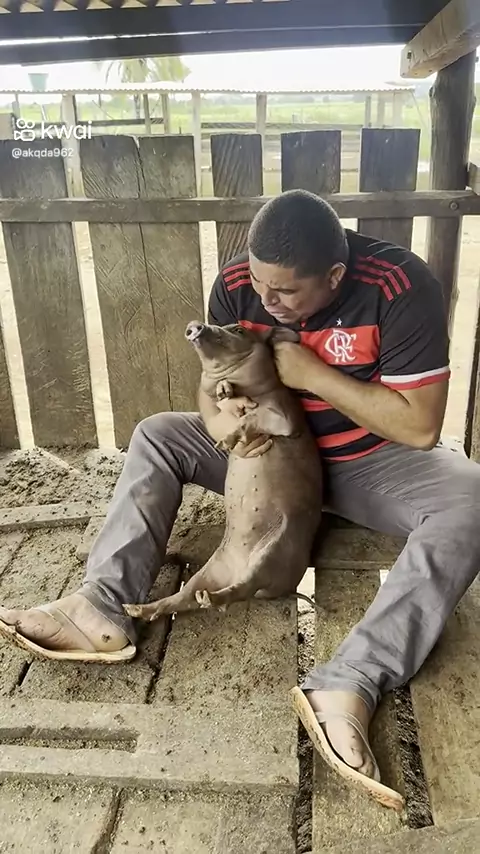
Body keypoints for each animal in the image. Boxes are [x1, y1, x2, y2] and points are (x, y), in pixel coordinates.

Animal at [123, 321, 323, 620]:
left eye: (239, 329)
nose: (196, 325)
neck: (254, 392)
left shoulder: (284, 415)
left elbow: (251, 418)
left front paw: (225, 442)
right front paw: (223, 392)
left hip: (274, 551)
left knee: (241, 589)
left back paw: (210, 599)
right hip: (211, 567)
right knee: (183, 598)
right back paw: (136, 609)